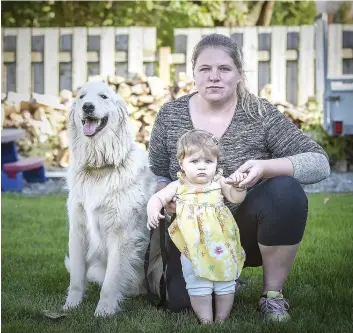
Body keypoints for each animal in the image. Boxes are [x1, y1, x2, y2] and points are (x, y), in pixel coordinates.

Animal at [63, 81, 161, 316]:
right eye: (81, 97)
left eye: (103, 97)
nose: (88, 107)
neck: (99, 168)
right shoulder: (78, 230)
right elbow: (76, 277)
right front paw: (70, 306)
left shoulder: (122, 234)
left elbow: (111, 280)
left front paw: (104, 311)